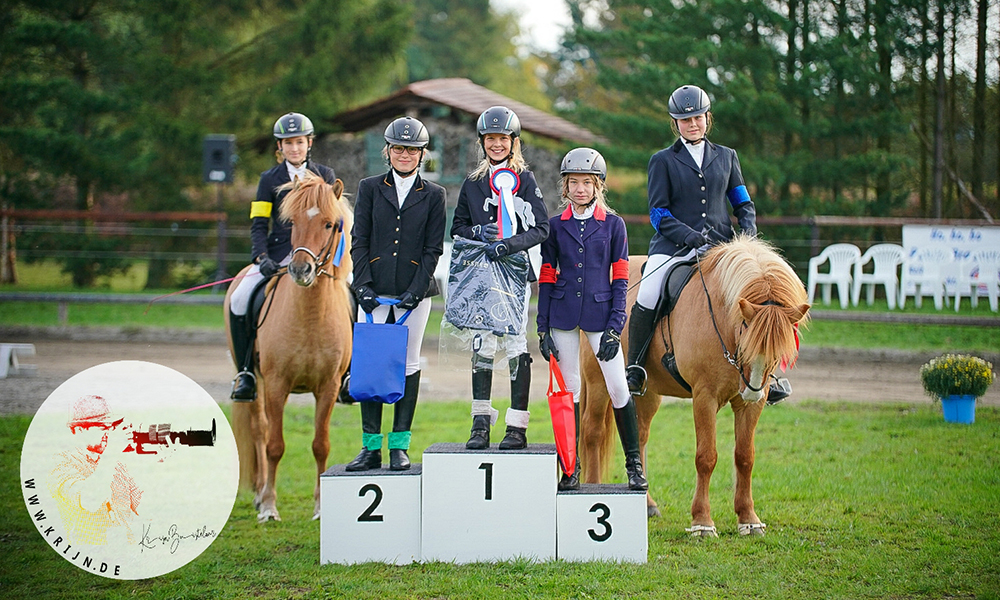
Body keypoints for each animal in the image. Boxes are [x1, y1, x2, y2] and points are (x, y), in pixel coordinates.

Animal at [225, 173, 354, 520]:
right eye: (291, 221)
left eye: (329, 224)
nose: (299, 270)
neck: (310, 317)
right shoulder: (277, 384)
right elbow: (274, 445)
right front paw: (270, 506)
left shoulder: (328, 386)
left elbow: (321, 444)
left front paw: (321, 507)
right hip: (255, 380)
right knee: (259, 429)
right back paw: (259, 495)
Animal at [584, 237, 808, 536]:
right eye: (744, 328)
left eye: (781, 345)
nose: (752, 389)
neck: (722, 319)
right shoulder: (705, 397)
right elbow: (706, 457)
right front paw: (702, 522)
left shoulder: (750, 404)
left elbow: (745, 456)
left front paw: (748, 518)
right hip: (598, 381)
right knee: (593, 433)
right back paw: (592, 487)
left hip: (648, 392)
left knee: (638, 435)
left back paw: (647, 503)